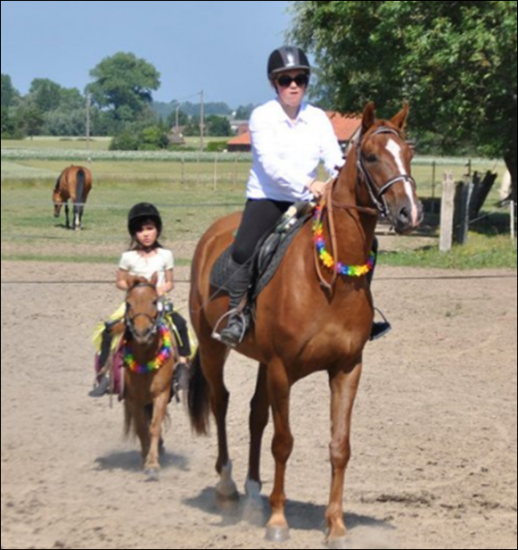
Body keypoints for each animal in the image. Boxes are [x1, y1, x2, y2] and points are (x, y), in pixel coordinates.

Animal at [121, 276, 179, 478]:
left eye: (154, 301)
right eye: (128, 303)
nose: (142, 333)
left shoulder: (161, 394)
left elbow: (154, 427)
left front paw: (152, 464)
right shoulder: (133, 399)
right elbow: (141, 429)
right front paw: (144, 459)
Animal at [189, 103, 424, 548]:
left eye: (409, 152)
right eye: (371, 157)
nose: (410, 213)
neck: (331, 278)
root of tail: (212, 235)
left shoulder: (346, 368)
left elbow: (339, 446)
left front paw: (336, 526)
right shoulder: (283, 368)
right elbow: (283, 442)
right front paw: (279, 522)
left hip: (262, 362)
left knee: (254, 413)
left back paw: (253, 494)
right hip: (214, 348)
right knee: (221, 401)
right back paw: (228, 487)